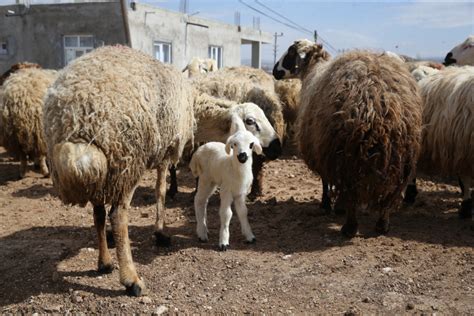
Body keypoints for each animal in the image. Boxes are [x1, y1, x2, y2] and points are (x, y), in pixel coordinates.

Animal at [43, 45, 194, 296]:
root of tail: (77, 117)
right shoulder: (164, 154)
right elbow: (160, 192)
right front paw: (160, 232)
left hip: (104, 171)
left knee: (98, 214)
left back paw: (104, 262)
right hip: (127, 162)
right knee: (118, 215)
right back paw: (131, 279)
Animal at [274, 40, 422, 237]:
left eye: (291, 52)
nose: (274, 70)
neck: (313, 70)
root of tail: (376, 103)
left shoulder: (321, 148)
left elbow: (325, 181)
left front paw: (328, 205)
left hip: (346, 151)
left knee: (351, 189)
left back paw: (350, 227)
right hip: (402, 154)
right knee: (391, 193)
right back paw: (382, 224)